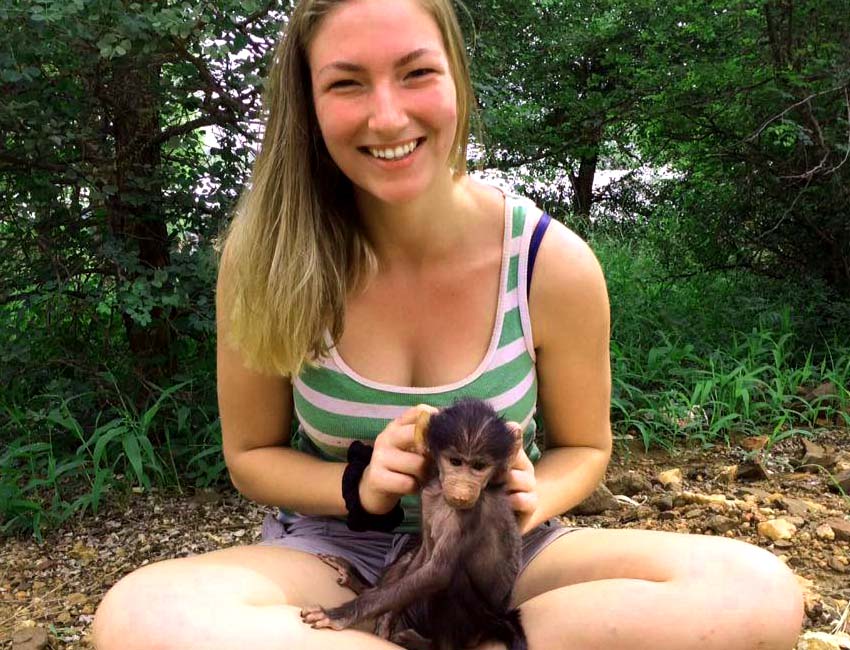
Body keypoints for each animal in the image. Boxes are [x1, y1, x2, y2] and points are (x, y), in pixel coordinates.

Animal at [300, 398, 528, 650]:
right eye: (456, 462)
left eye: (479, 467)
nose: (461, 492)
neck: (442, 498)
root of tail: (497, 619)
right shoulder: (428, 499)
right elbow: (421, 559)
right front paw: (385, 617)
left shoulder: (467, 517)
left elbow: (437, 574)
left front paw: (339, 615)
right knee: (409, 560)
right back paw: (359, 582)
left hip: (476, 621)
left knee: (453, 586)